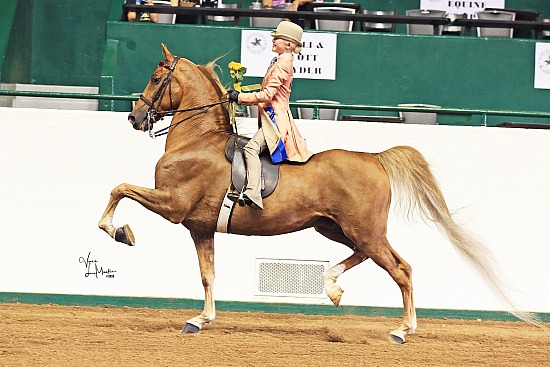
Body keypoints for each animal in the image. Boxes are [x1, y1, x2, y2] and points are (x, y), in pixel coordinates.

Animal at [98, 43, 536, 344]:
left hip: (364, 230)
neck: (197, 141)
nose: (134, 117)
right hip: (336, 228)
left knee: (401, 269)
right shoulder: (199, 228)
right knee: (374, 259)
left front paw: (120, 232)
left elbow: (119, 188)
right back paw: (333, 285)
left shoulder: (172, 205)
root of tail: (375, 158)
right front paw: (200, 320)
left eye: (157, 79)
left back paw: (402, 329)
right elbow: (207, 275)